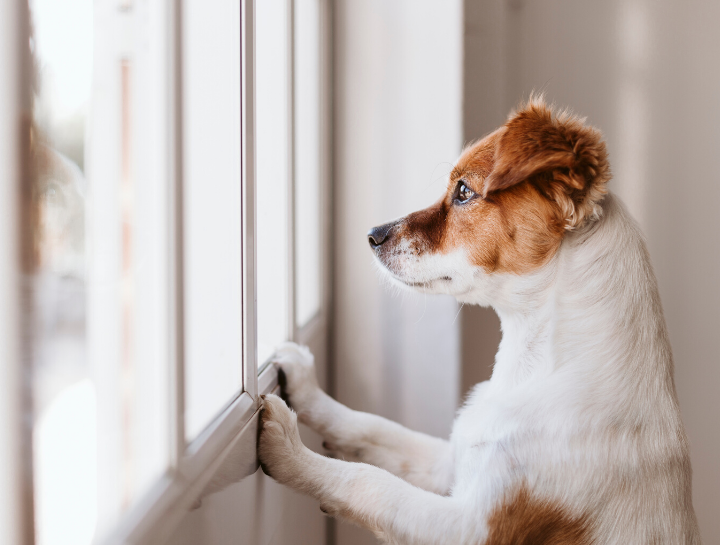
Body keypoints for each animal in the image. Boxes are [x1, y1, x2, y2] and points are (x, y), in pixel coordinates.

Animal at [256, 99, 700, 544]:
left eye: (464, 192)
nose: (372, 234)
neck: (533, 368)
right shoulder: (450, 462)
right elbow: (371, 428)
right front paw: (306, 388)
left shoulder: (472, 527)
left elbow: (370, 482)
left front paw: (290, 450)